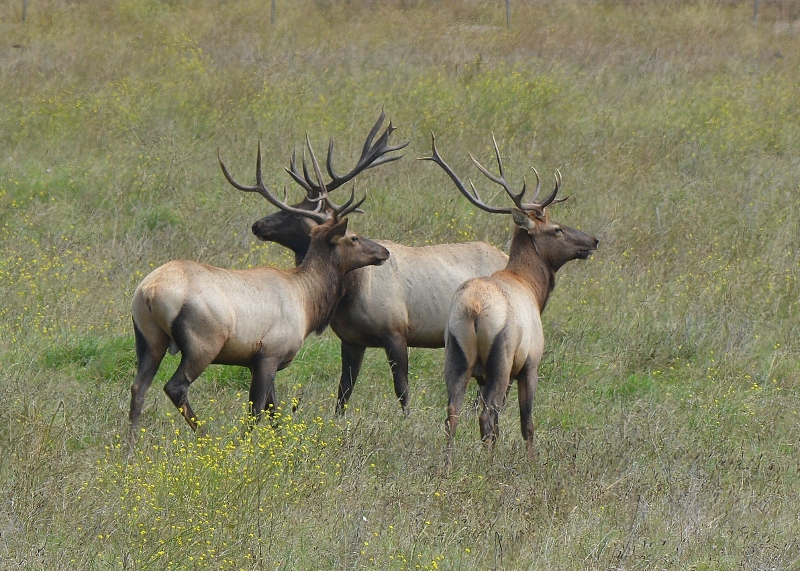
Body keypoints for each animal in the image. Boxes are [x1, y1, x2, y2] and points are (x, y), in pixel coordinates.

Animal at [129, 140, 390, 442]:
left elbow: (273, 409)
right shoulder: (268, 354)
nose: (384, 251)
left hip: (148, 338)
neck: (307, 301)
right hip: (202, 342)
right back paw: (207, 437)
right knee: (175, 386)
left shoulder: (261, 360)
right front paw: (245, 446)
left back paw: (130, 446)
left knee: (138, 389)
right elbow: (256, 411)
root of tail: (149, 292)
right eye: (354, 237)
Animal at [242, 113, 506, 416]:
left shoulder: (396, 331)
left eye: (295, 214)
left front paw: (406, 420)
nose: (258, 225)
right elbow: (343, 391)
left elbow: (402, 388)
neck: (351, 293)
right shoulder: (351, 339)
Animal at [422, 133, 596, 460]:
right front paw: (531, 462)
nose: (593, 240)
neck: (532, 287)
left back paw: (447, 463)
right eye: (557, 229)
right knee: (487, 416)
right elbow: (527, 424)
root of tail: (474, 309)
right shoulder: (530, 365)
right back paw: (488, 466)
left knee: (453, 413)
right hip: (500, 360)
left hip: (456, 355)